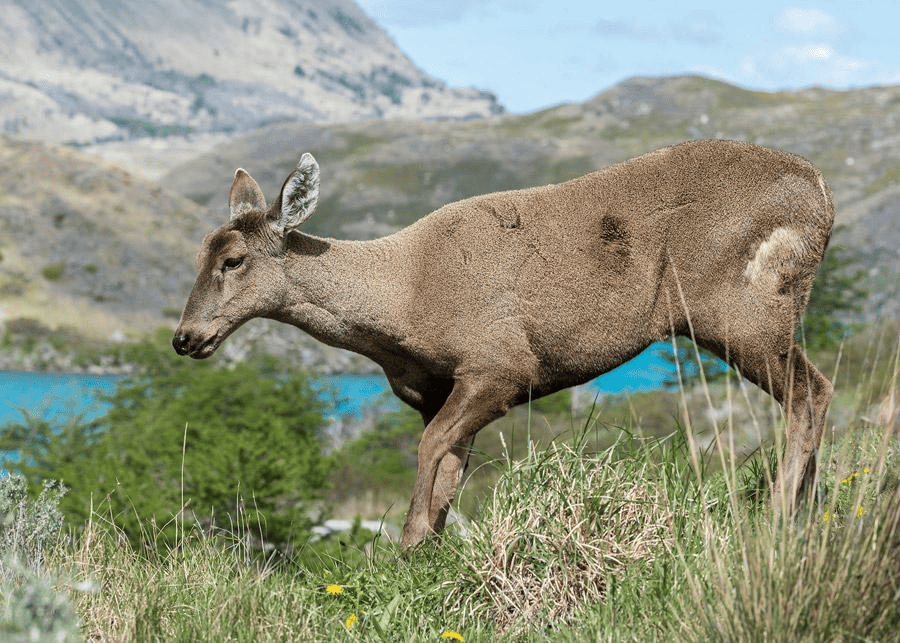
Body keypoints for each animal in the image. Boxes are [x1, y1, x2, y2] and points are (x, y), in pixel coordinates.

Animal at [172, 139, 835, 547]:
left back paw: (777, 517)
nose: (184, 338)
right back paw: (807, 512)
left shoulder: (503, 364)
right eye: (199, 252)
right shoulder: (434, 389)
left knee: (812, 391)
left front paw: (405, 548)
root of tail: (822, 194)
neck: (404, 302)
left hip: (740, 308)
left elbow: (430, 453)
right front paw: (424, 559)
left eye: (232, 260)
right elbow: (445, 469)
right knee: (815, 393)